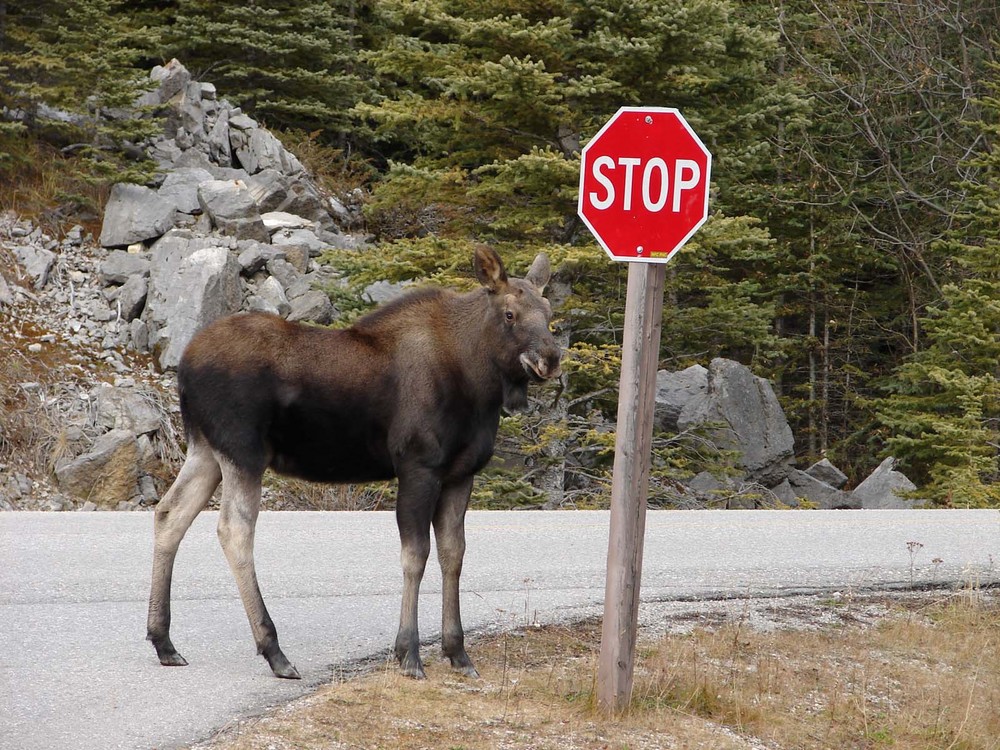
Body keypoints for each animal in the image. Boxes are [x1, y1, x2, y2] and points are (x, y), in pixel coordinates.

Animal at [145, 247, 564, 680]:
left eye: (550, 311)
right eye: (510, 313)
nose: (550, 359)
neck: (478, 383)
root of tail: (184, 368)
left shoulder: (461, 473)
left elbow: (454, 555)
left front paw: (458, 653)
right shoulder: (418, 466)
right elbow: (416, 555)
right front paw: (409, 655)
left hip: (205, 450)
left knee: (170, 513)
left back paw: (164, 642)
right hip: (242, 452)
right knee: (233, 530)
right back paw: (274, 650)